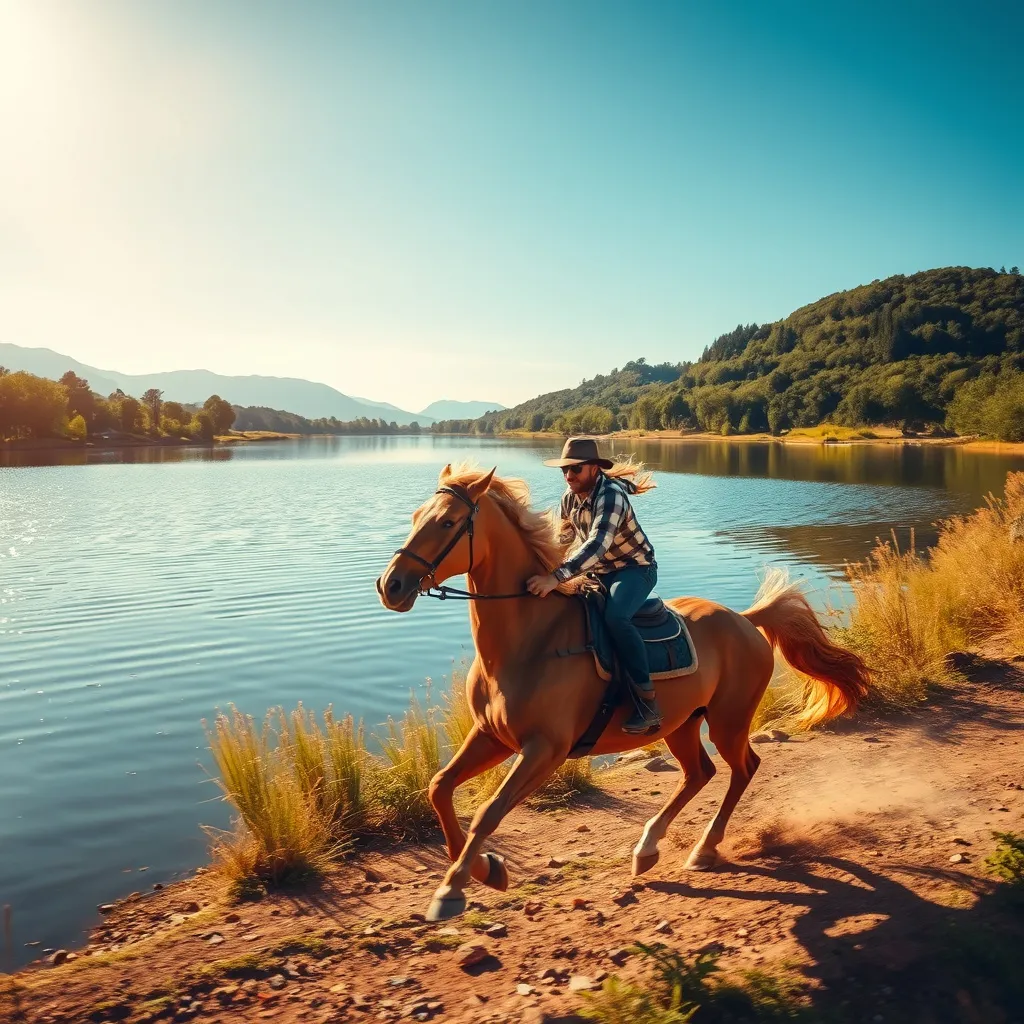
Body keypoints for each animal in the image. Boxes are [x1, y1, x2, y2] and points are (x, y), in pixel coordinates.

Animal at [378, 464, 872, 921]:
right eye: (416, 516)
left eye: (447, 522)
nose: (391, 585)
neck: (529, 639)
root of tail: (747, 620)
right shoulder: (492, 737)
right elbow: (439, 788)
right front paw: (486, 869)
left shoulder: (544, 749)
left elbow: (488, 810)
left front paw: (453, 889)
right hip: (681, 725)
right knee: (700, 773)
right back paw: (648, 848)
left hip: (728, 720)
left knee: (743, 768)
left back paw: (704, 849)